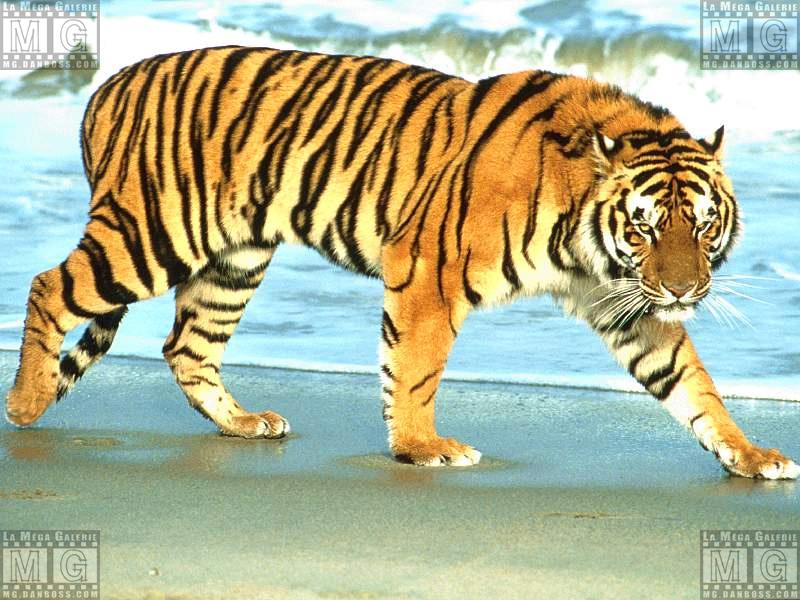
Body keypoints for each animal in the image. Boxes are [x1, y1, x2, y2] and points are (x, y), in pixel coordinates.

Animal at [5, 46, 798, 478]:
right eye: (642, 228)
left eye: (702, 225)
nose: (685, 289)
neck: (586, 231)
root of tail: (105, 85)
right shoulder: (428, 268)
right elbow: (415, 368)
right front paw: (423, 448)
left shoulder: (626, 305)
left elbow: (694, 386)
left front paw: (752, 456)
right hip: (150, 234)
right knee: (50, 286)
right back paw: (26, 404)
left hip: (234, 258)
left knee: (188, 347)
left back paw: (244, 424)